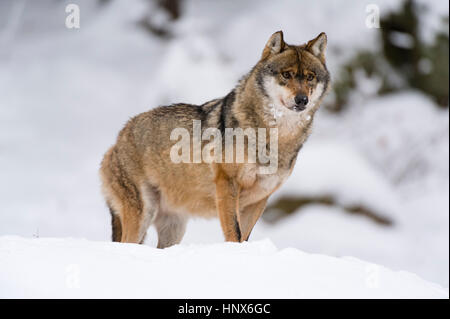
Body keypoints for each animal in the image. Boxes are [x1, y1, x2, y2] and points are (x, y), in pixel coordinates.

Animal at [99, 31, 330, 249]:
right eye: (287, 74)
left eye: (310, 77)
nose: (302, 100)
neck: (276, 138)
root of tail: (116, 141)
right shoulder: (226, 183)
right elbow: (234, 233)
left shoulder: (260, 198)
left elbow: (244, 236)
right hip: (143, 216)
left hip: (174, 229)